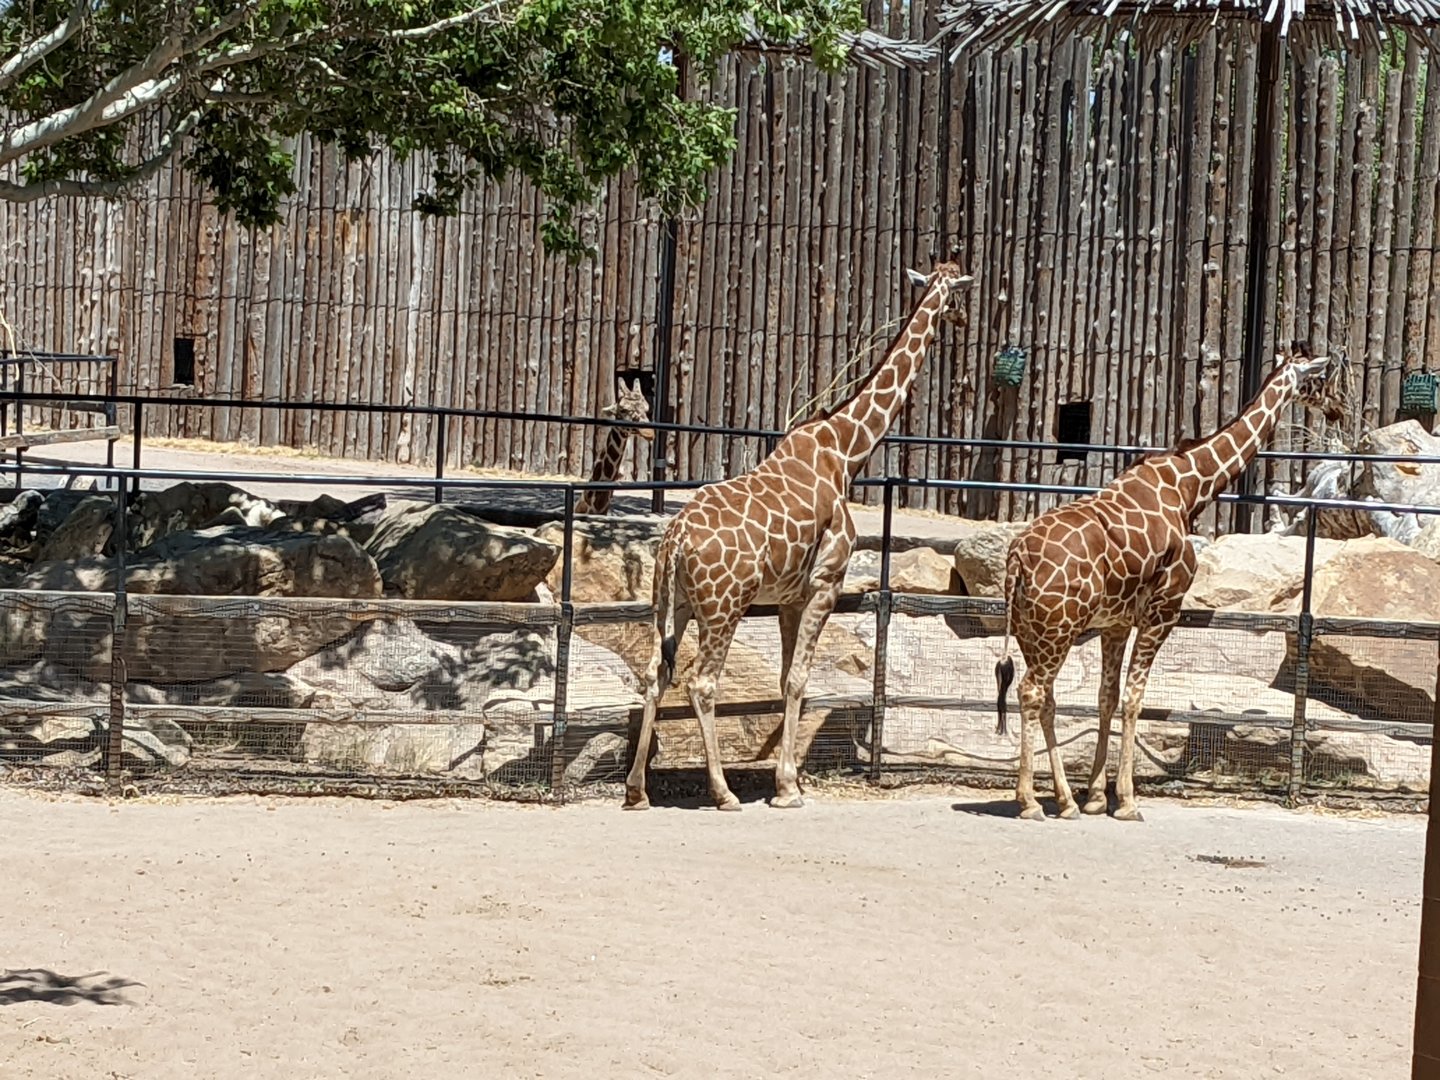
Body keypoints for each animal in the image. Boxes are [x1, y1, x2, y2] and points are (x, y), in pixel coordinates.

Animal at [624, 262, 974, 810]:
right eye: (960, 293)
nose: (961, 321)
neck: (846, 451)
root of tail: (676, 539)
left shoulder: (789, 598)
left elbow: (788, 680)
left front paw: (786, 781)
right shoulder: (826, 584)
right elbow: (798, 680)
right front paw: (787, 788)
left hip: (670, 604)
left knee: (655, 676)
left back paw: (637, 789)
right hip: (724, 606)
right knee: (701, 683)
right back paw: (722, 792)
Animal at [993, 345, 1343, 822]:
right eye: (1321, 377)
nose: (1339, 408)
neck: (1191, 485)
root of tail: (1017, 558)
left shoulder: (1116, 623)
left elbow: (1107, 697)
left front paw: (1096, 797)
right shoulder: (1163, 611)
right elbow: (1135, 699)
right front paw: (1127, 801)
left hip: (1032, 631)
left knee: (1045, 697)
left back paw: (1064, 801)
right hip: (1057, 630)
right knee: (1031, 691)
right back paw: (1029, 801)